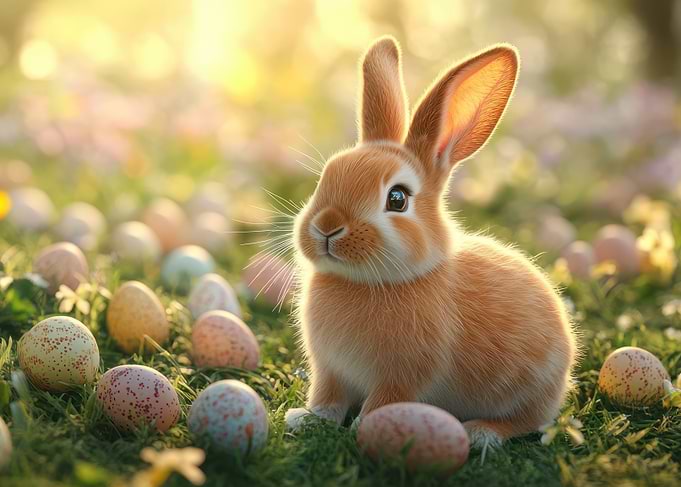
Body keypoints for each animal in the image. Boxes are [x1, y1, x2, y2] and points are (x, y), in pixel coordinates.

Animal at [284, 36, 578, 450]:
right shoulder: (330, 370)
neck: (367, 282)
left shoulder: (404, 375)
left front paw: (366, 430)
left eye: (397, 199)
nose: (327, 226)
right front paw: (306, 419)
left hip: (529, 390)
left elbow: (383, 402)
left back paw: (480, 433)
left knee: (528, 421)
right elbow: (327, 399)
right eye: (325, 177)